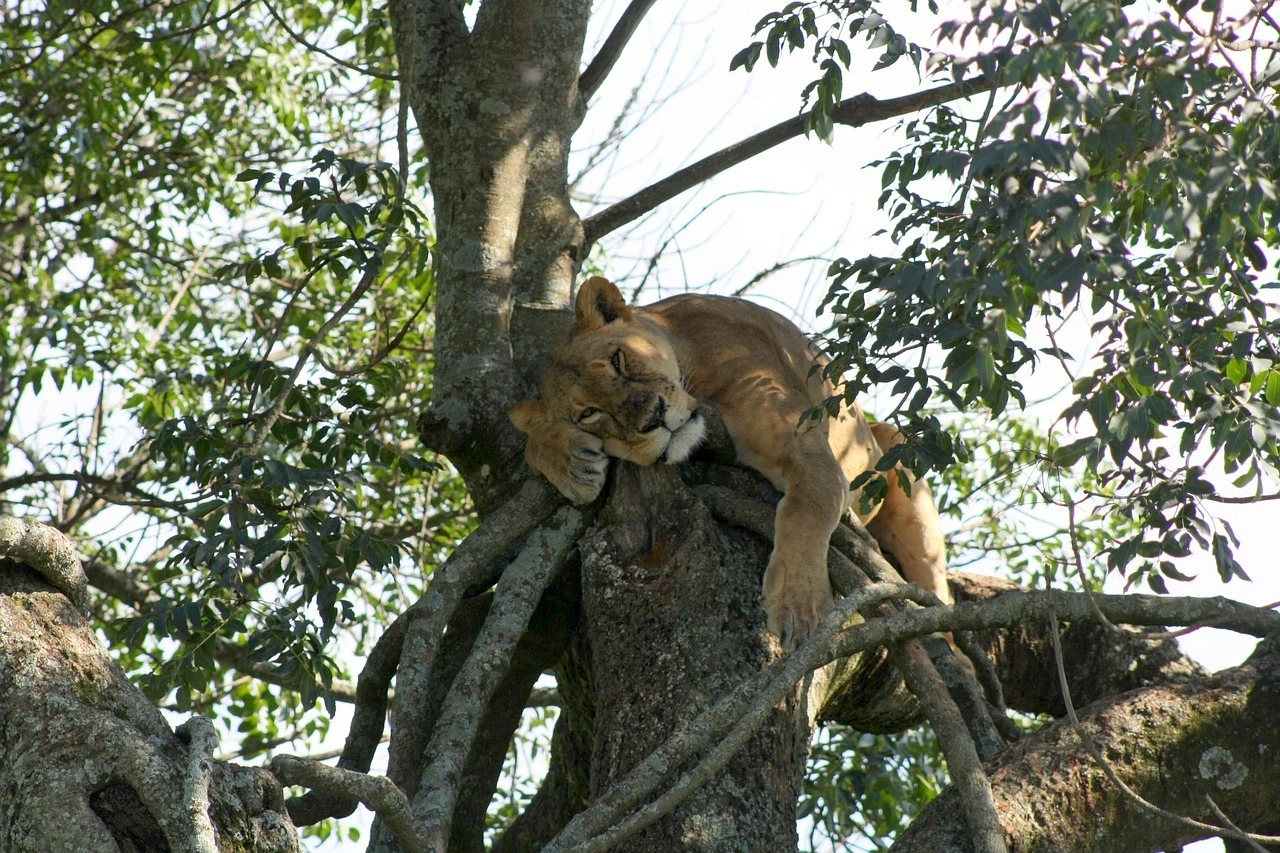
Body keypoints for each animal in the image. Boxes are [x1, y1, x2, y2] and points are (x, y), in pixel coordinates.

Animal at [509, 276, 951, 649]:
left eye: (618, 360)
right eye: (588, 414)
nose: (654, 416)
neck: (691, 362)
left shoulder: (806, 450)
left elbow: (805, 511)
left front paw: (799, 604)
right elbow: (530, 438)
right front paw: (567, 459)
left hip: (899, 456)